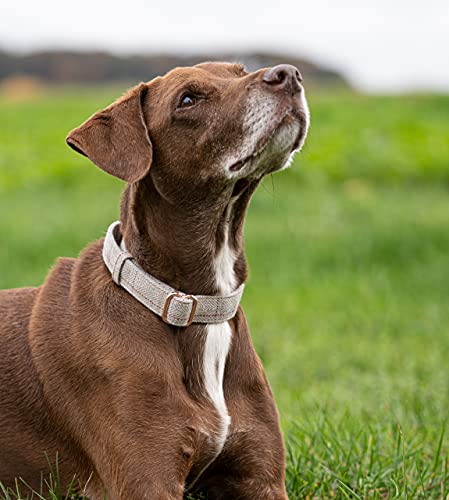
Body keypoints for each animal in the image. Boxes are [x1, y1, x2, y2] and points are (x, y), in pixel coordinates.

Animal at [0, 60, 308, 498]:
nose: (288, 74)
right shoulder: (146, 482)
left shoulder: (261, 480)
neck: (193, 304)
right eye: (188, 99)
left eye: (240, 70)